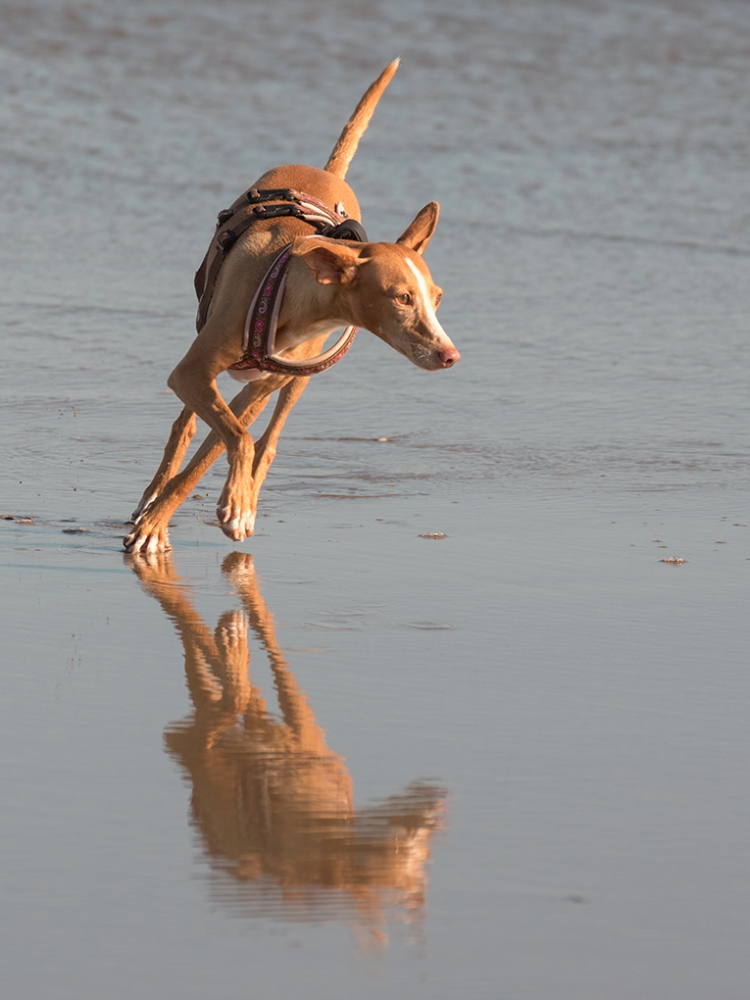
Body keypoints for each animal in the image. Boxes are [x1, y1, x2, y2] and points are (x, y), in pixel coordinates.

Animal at [125, 62, 458, 556]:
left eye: (436, 298)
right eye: (402, 297)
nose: (450, 355)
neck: (287, 292)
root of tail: (325, 172)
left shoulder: (259, 389)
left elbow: (225, 446)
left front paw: (228, 506)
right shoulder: (192, 373)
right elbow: (229, 438)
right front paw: (158, 524)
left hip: (295, 382)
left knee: (267, 441)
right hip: (201, 348)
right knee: (186, 426)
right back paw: (152, 497)